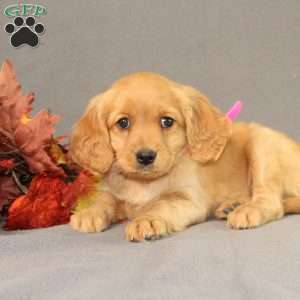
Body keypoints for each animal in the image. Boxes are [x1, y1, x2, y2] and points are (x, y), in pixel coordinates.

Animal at [69, 72, 300, 241]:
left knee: (273, 203)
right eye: (123, 123)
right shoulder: (112, 191)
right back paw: (231, 205)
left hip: (263, 145)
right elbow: (104, 199)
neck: (143, 183)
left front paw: (147, 219)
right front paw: (90, 213)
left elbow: (162, 204)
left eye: (167, 121)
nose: (146, 156)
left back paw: (247, 210)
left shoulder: (188, 200)